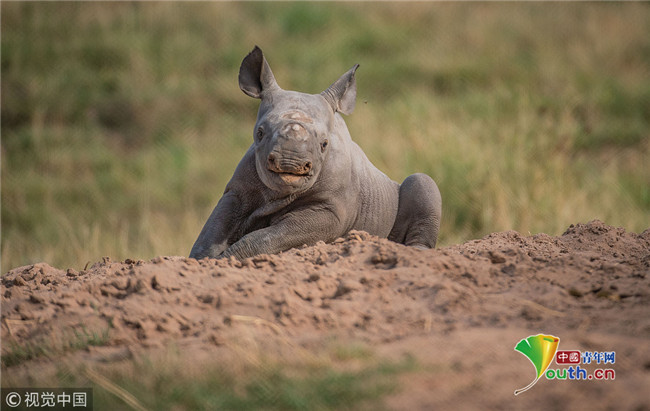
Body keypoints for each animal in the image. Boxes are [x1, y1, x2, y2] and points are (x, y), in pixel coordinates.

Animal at [189, 47, 440, 260]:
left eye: (324, 144)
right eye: (259, 133)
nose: (290, 163)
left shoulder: (331, 210)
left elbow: (272, 236)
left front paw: (227, 259)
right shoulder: (238, 190)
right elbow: (213, 230)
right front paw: (204, 260)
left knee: (422, 181)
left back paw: (416, 252)